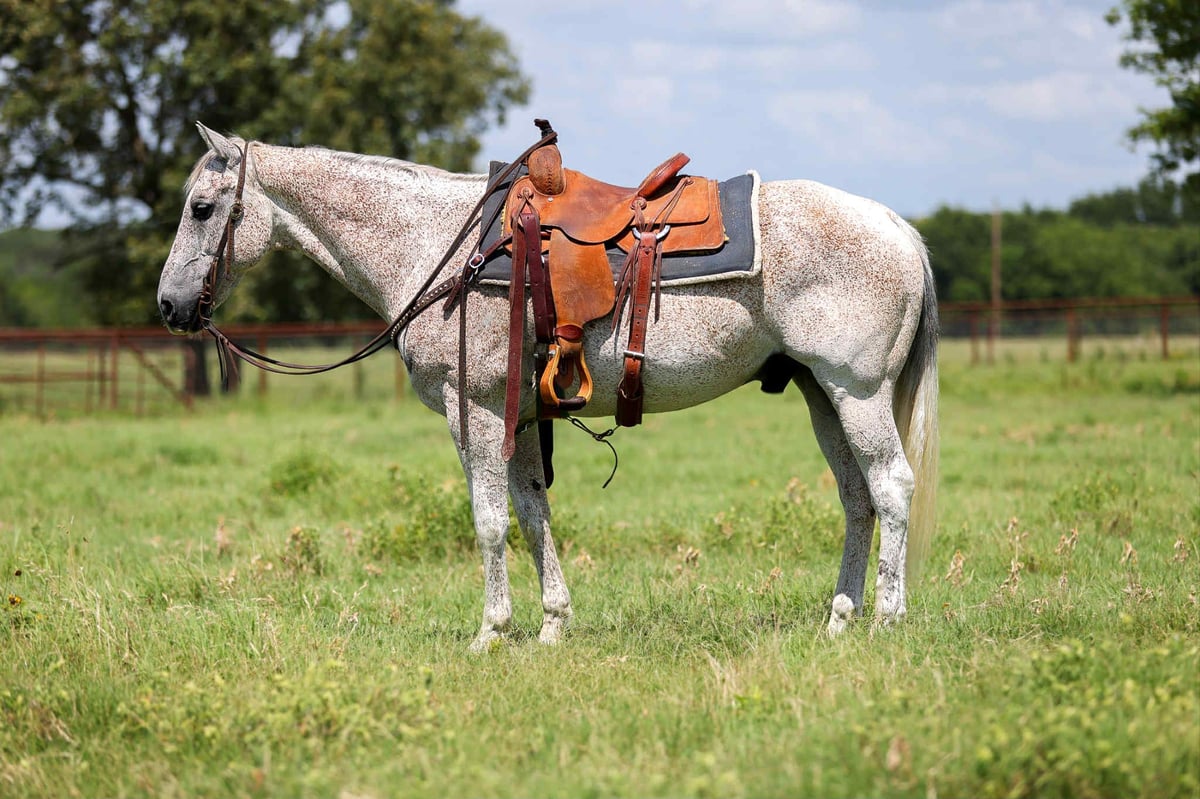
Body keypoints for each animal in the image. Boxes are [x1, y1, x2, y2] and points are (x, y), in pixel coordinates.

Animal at [157, 123, 939, 651]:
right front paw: (553, 625)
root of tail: (899, 227)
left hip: (857, 391)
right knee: (857, 497)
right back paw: (840, 617)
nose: (169, 305)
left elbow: (489, 521)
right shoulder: (526, 415)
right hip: (820, 394)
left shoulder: (471, 410)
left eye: (201, 207)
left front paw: (491, 631)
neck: (438, 245)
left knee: (891, 486)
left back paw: (888, 617)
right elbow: (534, 515)